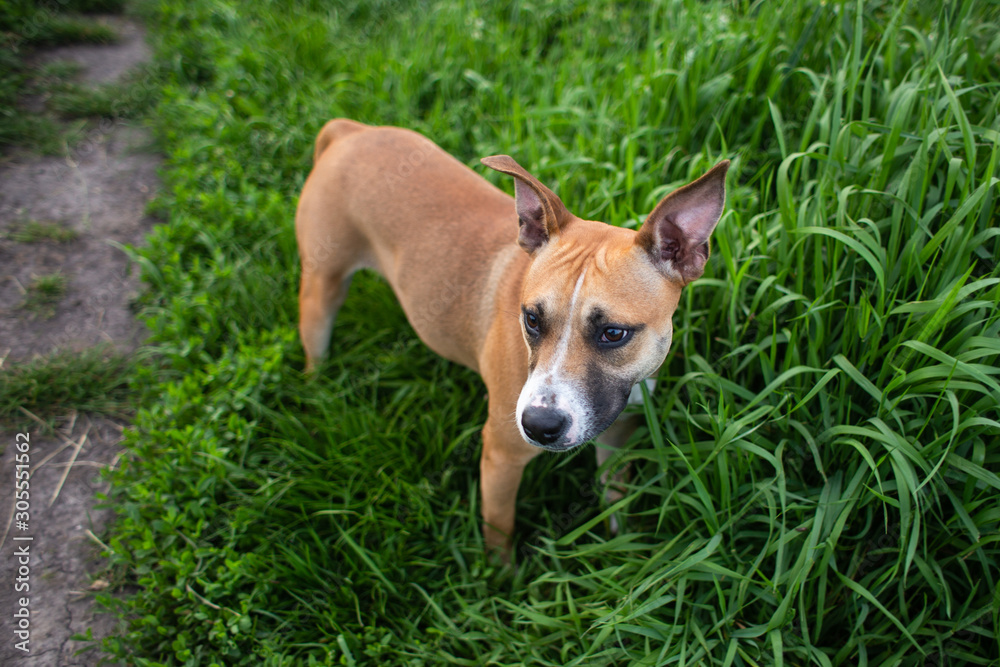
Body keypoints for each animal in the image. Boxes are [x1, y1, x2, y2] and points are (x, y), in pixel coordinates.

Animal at [294, 120, 728, 560]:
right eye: (532, 319)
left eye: (614, 333)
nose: (539, 425)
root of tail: (350, 131)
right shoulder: (501, 456)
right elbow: (499, 528)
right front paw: (499, 573)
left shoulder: (619, 435)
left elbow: (615, 499)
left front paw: (620, 551)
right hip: (322, 289)